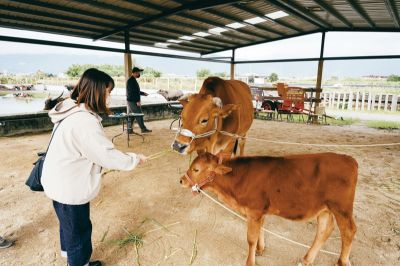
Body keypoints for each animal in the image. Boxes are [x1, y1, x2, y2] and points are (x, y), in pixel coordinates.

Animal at [180, 152, 358, 266]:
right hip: (324, 209)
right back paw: (307, 260)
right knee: (324, 230)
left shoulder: (254, 211)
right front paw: (260, 249)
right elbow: (261, 229)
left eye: (196, 169)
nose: (181, 180)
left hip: (342, 208)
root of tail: (349, 159)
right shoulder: (259, 212)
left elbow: (251, 239)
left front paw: (250, 262)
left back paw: (342, 262)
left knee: (348, 231)